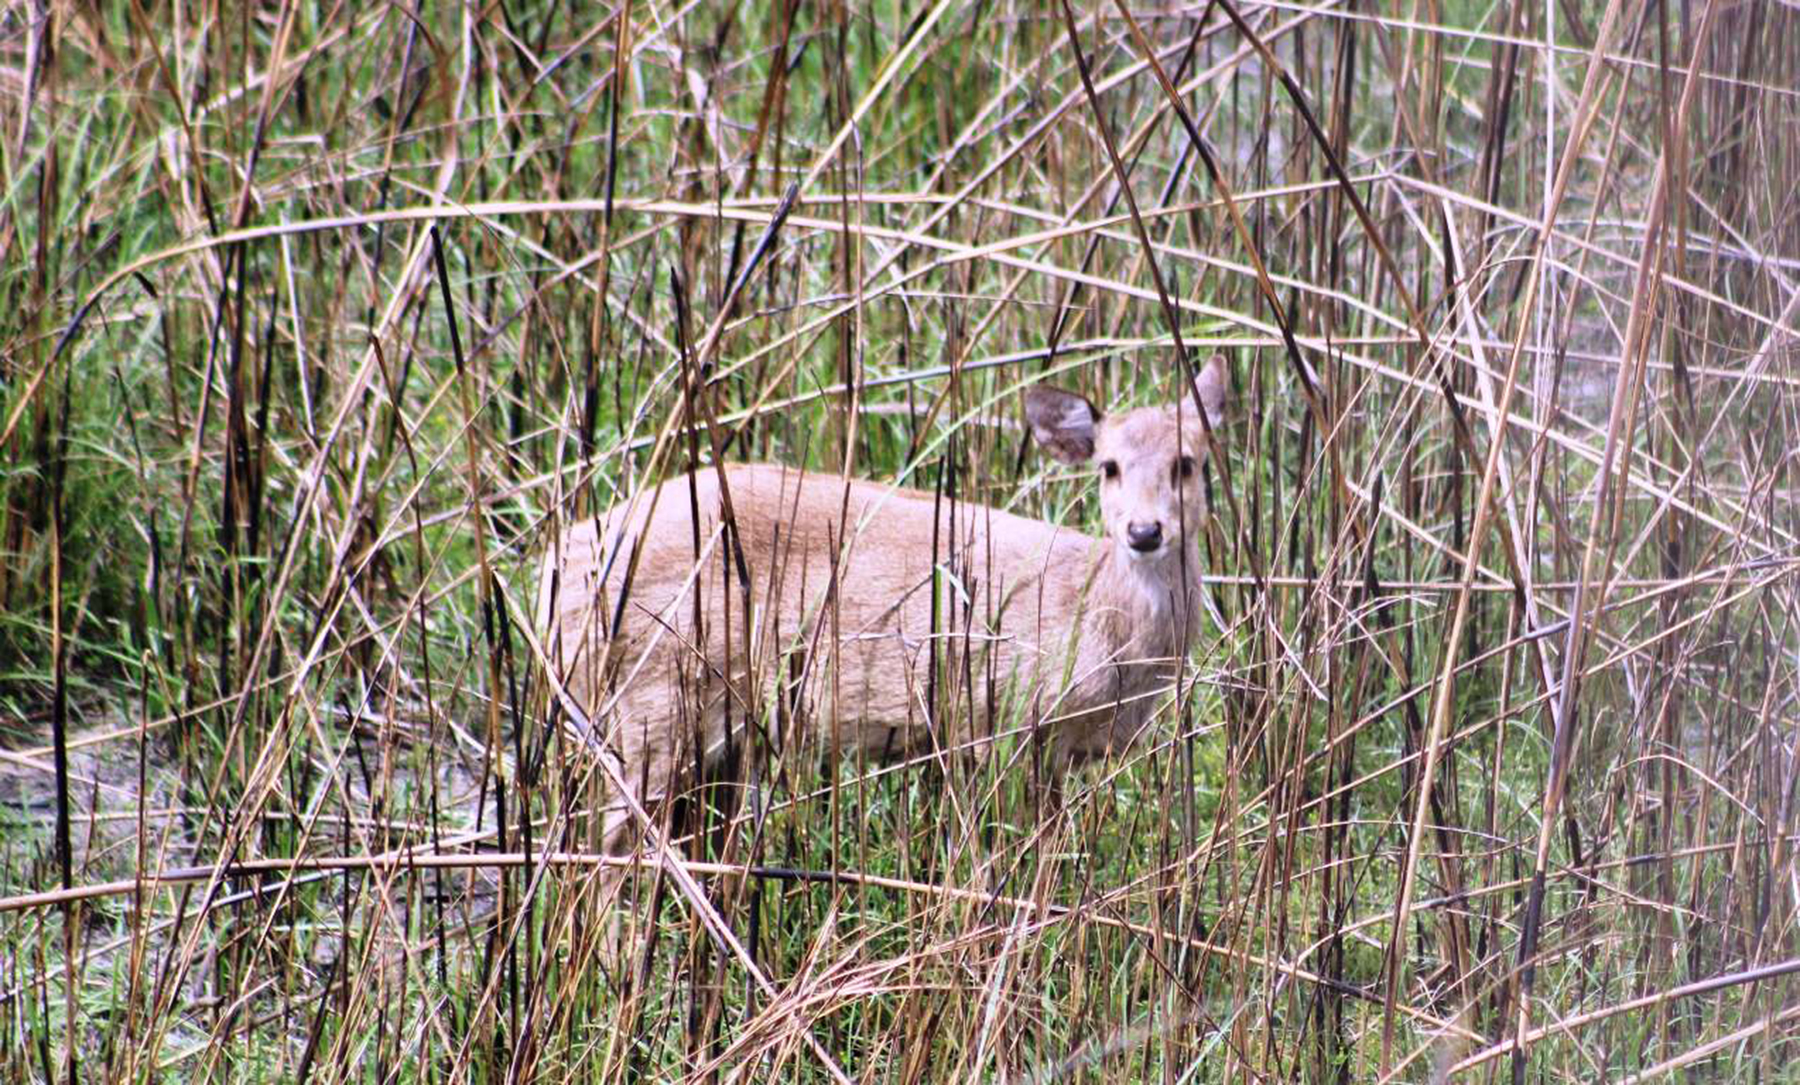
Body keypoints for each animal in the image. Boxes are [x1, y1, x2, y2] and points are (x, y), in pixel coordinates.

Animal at [532, 356, 1231, 856]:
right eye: (1109, 466)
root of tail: (553, 570)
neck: (1096, 619)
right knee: (608, 845)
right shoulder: (999, 720)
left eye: (1188, 463)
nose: (1145, 531)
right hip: (649, 701)